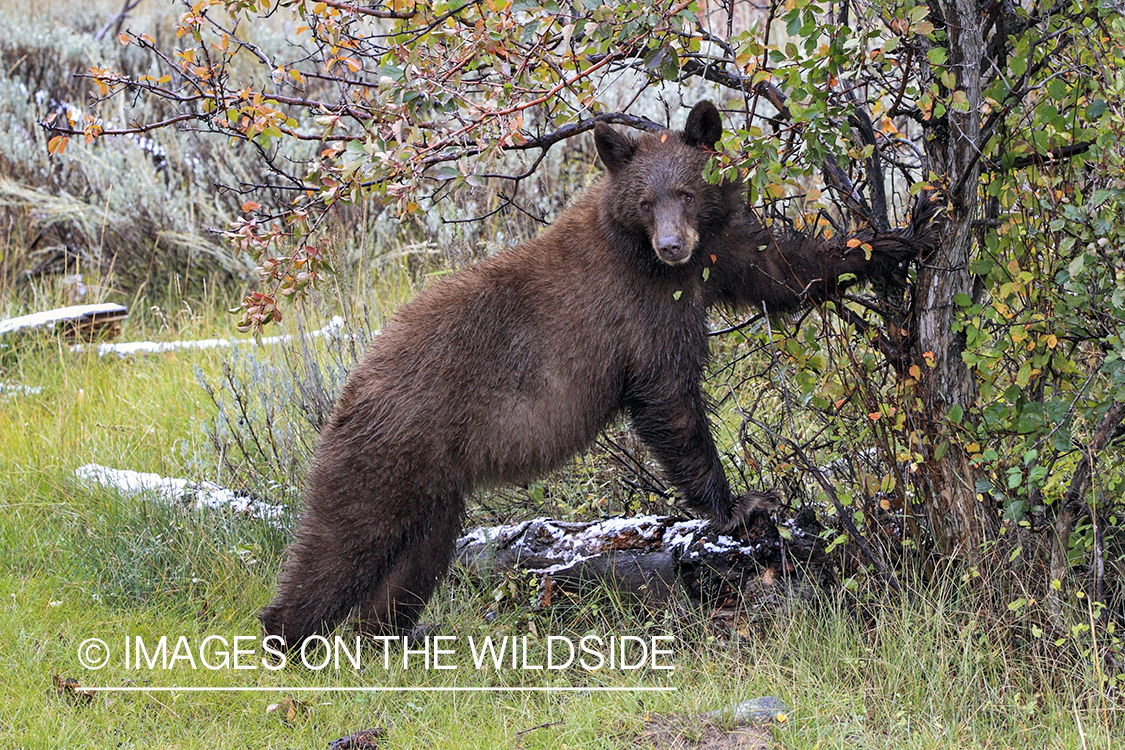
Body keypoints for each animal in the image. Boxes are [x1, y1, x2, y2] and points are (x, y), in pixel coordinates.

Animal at [258, 99, 936, 647]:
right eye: (645, 200)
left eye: (686, 192)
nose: (671, 244)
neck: (650, 257)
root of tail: (354, 382)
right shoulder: (640, 310)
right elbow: (670, 400)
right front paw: (740, 504)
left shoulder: (715, 255)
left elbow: (782, 269)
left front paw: (898, 239)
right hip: (393, 450)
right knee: (346, 539)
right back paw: (286, 636)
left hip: (435, 480)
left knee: (419, 552)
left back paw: (396, 631)